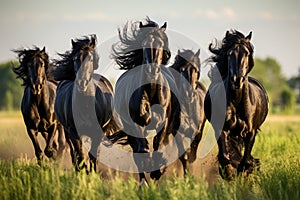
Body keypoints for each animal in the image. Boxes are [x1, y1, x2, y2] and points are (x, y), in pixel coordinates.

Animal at [53, 35, 120, 173]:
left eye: (90, 58)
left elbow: (93, 155)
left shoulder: (97, 132)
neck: (85, 105)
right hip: (67, 132)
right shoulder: (73, 132)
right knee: (73, 153)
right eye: (75, 59)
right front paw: (83, 173)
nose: (81, 83)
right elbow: (80, 155)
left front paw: (93, 173)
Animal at [205, 30, 268, 180]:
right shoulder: (222, 129)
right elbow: (225, 157)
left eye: (247, 53)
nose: (237, 80)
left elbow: (245, 161)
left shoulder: (251, 132)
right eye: (229, 54)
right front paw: (228, 175)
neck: (237, 101)